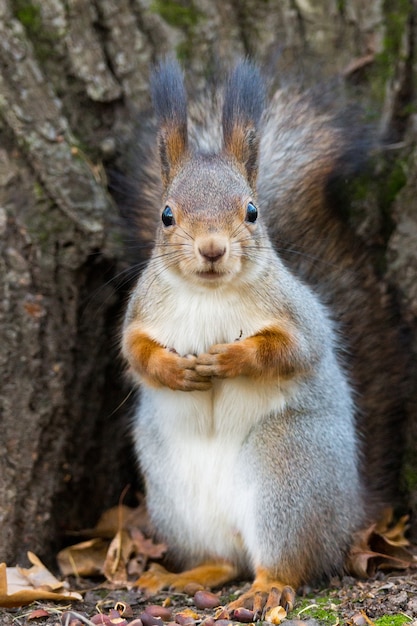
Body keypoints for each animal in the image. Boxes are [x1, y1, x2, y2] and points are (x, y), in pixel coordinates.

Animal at [119, 59, 406, 616]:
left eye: (252, 211)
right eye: (167, 215)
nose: (212, 249)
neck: (208, 294)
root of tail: (350, 514)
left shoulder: (299, 313)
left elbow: (293, 349)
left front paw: (230, 358)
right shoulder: (139, 314)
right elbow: (136, 355)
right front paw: (175, 369)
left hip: (286, 474)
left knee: (285, 560)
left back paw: (267, 587)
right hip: (175, 498)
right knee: (225, 561)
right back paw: (184, 575)